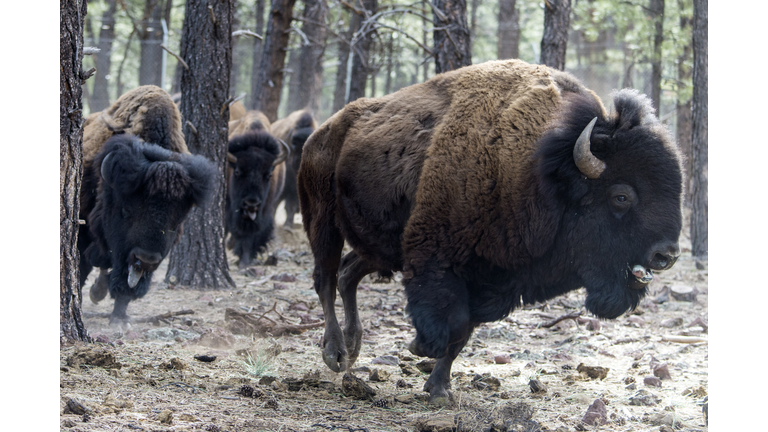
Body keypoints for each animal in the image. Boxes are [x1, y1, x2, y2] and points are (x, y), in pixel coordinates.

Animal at [297, 59, 684, 402]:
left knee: (348, 274)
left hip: (377, 247)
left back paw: (353, 347)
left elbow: (464, 332)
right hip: (322, 223)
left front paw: (439, 388)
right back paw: (335, 354)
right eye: (621, 196)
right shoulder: (438, 262)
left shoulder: (495, 279)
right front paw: (420, 347)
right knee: (326, 279)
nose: (666, 255)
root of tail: (321, 134)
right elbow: (452, 320)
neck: (538, 173)